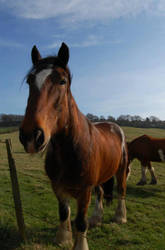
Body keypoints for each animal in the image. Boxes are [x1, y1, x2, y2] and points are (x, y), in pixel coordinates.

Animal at [19, 43, 127, 250]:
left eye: (62, 81)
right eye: (29, 81)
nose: (31, 136)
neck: (70, 148)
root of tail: (114, 126)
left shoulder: (84, 190)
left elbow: (80, 221)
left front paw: (80, 244)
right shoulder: (57, 185)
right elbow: (64, 213)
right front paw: (63, 239)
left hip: (121, 170)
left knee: (121, 192)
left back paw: (120, 217)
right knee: (101, 192)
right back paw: (97, 218)